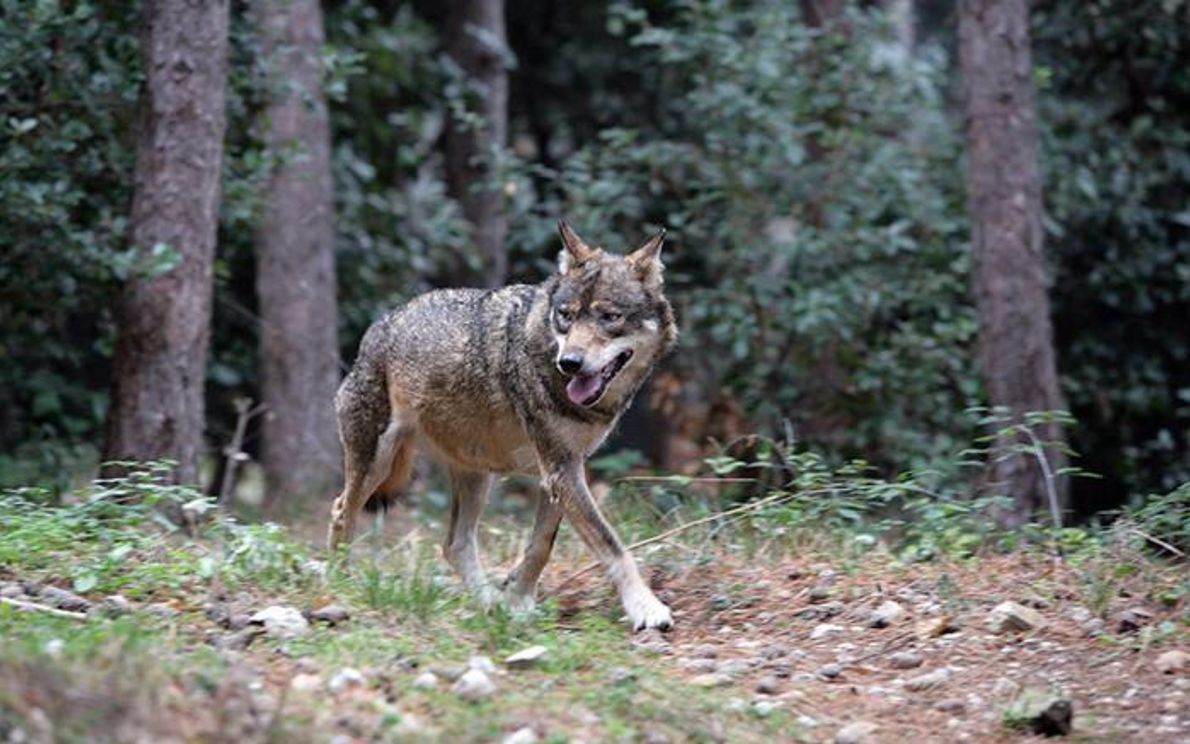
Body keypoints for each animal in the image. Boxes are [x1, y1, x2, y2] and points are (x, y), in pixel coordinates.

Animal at [327, 221, 678, 631]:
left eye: (610, 317)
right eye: (566, 315)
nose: (569, 363)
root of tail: (378, 327)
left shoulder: (561, 472)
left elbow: (540, 547)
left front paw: (517, 602)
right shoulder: (561, 471)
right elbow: (613, 545)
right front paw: (646, 608)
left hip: (477, 475)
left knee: (455, 545)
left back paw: (489, 603)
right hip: (377, 464)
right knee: (341, 511)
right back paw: (339, 582)